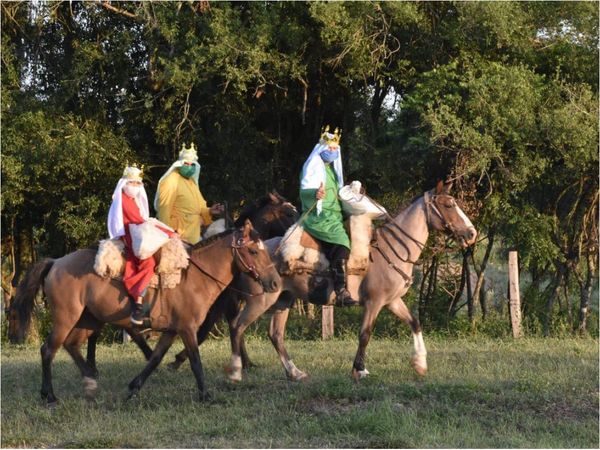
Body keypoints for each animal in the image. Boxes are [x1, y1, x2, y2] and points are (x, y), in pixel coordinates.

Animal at [8, 221, 282, 404]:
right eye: (254, 251)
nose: (276, 283)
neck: (194, 277)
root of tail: (55, 262)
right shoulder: (187, 329)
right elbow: (195, 361)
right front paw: (205, 395)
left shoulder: (172, 330)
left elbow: (155, 358)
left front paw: (133, 387)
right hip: (67, 318)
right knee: (48, 350)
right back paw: (49, 395)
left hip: (88, 320)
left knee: (71, 346)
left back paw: (90, 381)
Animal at [223, 181, 476, 382]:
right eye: (448, 205)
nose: (472, 233)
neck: (392, 251)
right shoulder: (374, 302)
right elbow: (365, 334)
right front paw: (359, 370)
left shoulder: (392, 301)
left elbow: (414, 323)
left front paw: (420, 364)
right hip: (260, 300)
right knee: (237, 327)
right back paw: (237, 370)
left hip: (283, 300)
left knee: (275, 335)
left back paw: (294, 372)